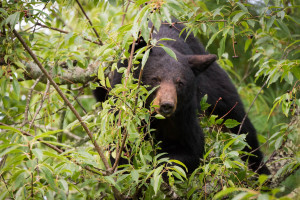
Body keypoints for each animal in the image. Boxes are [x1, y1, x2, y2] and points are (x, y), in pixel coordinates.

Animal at [95, 21, 270, 175]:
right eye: (155, 79)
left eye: (180, 83)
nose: (166, 105)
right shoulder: (120, 107)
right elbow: (120, 147)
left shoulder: (183, 115)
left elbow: (191, 149)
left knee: (240, 125)